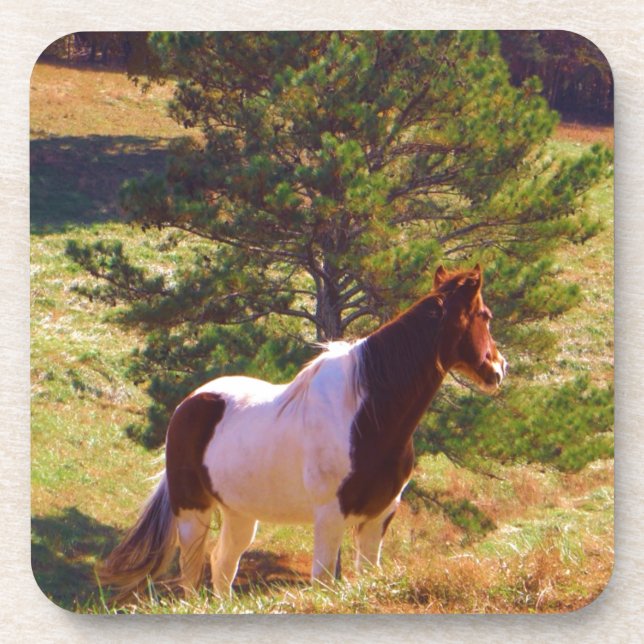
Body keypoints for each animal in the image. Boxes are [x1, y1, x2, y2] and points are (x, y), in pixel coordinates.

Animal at [99, 264, 507, 599]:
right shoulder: (330, 515)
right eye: (484, 316)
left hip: (240, 514)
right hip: (192, 512)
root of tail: (189, 404)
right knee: (191, 571)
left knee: (222, 565)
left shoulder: (378, 515)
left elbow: (367, 576)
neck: (366, 414)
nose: (499, 368)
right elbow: (323, 582)